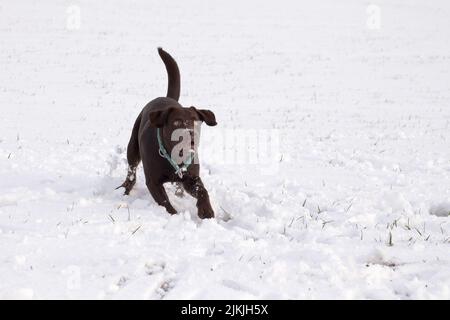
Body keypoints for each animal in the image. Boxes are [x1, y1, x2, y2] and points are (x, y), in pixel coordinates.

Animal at [118, 47, 218, 219]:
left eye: (195, 121)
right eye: (177, 122)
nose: (190, 137)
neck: (175, 156)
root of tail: (164, 97)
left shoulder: (190, 177)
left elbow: (202, 190)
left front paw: (206, 210)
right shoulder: (153, 182)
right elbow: (165, 203)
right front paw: (175, 216)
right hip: (133, 147)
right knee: (131, 172)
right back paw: (125, 190)